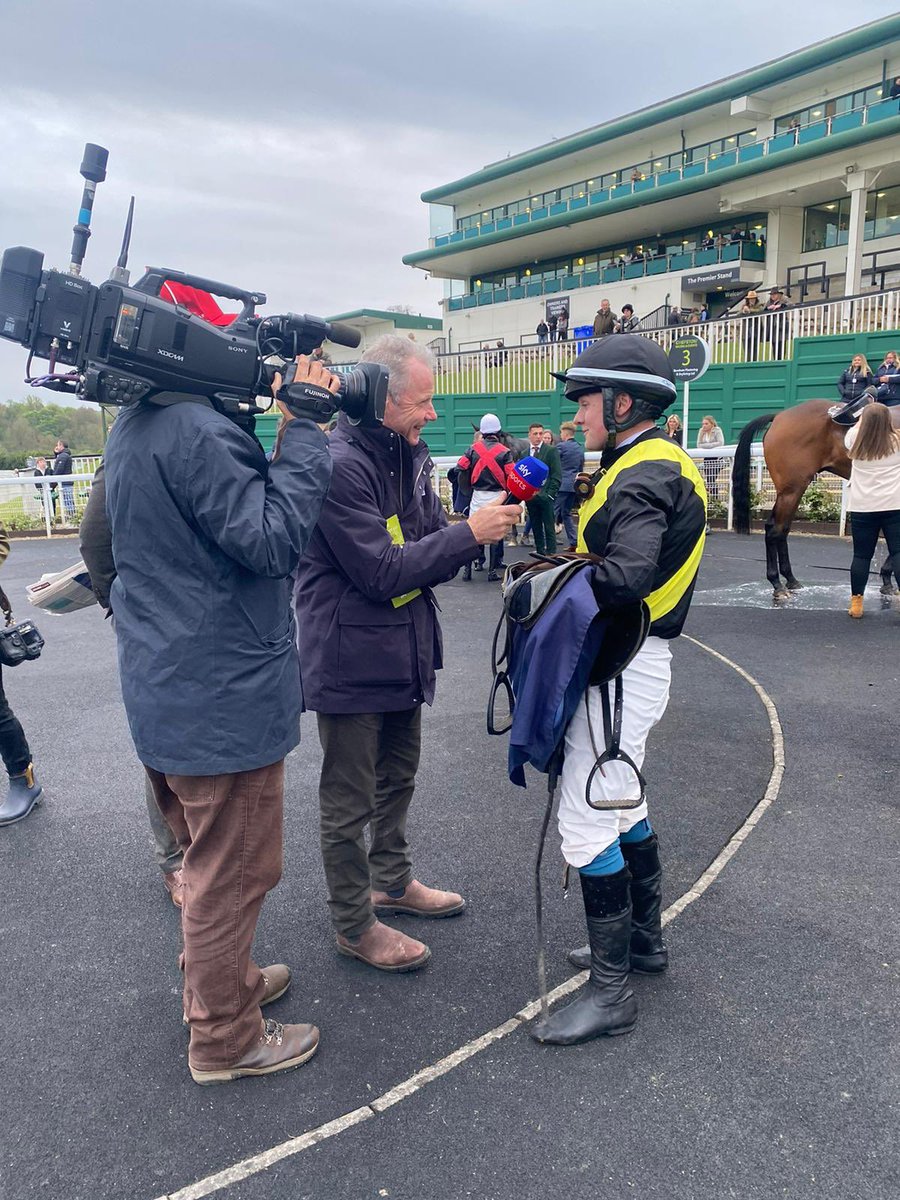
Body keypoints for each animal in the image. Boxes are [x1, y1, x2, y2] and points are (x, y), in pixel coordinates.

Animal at [734, 398, 897, 600]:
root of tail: (779, 416)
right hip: (792, 490)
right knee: (776, 531)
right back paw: (777, 584)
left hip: (788, 492)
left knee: (778, 528)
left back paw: (790, 579)